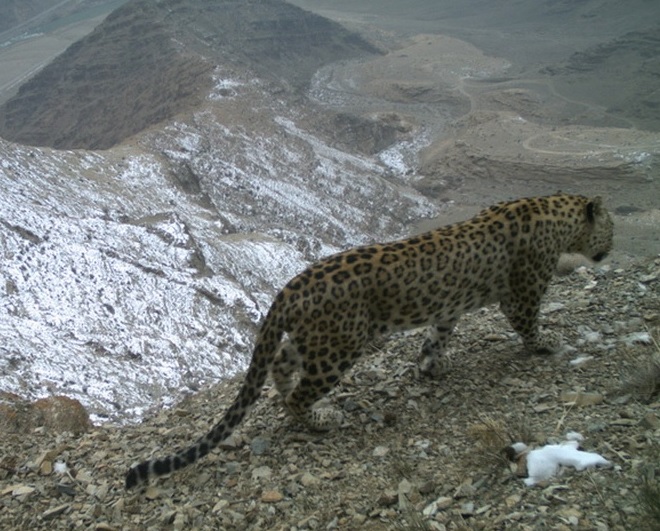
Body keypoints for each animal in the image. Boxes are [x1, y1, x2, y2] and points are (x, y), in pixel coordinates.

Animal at [125, 193, 612, 488]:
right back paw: (321, 419)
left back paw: (291, 395)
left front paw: (431, 365)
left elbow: (438, 335)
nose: (609, 249)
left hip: (316, 339)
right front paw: (547, 345)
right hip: (338, 349)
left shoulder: (448, 308)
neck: (558, 217)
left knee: (281, 364)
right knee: (299, 396)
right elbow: (528, 323)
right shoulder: (523, 292)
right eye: (611, 227)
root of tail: (291, 285)